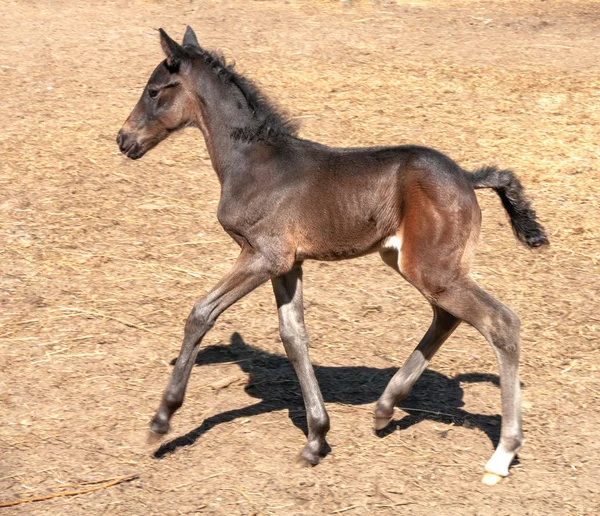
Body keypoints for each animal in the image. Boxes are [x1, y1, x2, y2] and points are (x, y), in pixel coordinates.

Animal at [117, 26, 548, 486]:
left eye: (154, 90)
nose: (123, 139)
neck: (251, 161)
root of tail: (467, 177)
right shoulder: (288, 264)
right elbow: (294, 336)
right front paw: (316, 439)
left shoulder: (262, 255)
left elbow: (201, 313)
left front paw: (160, 421)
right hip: (413, 263)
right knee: (447, 317)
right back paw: (384, 408)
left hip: (432, 269)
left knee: (500, 322)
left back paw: (501, 454)